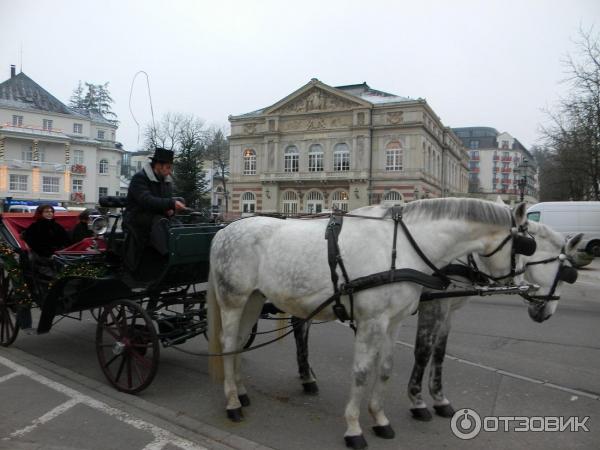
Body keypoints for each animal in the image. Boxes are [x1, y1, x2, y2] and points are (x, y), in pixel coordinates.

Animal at [209, 199, 532, 448]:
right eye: (526, 244)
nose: (524, 286)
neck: (402, 248)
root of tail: (224, 230)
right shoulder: (371, 322)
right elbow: (362, 372)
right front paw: (354, 427)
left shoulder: (394, 322)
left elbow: (386, 369)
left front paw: (379, 418)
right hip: (234, 299)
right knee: (229, 342)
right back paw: (232, 403)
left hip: (253, 299)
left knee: (239, 343)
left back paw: (241, 392)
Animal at [408, 220, 580, 420]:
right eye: (564, 276)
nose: (547, 314)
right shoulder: (434, 304)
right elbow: (423, 351)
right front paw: (417, 401)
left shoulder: (448, 310)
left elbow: (439, 353)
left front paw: (439, 399)